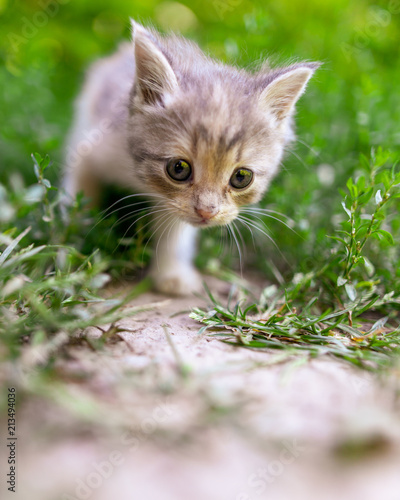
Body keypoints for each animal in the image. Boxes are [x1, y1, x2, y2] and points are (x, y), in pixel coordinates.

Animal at [63, 20, 318, 292]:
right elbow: (77, 204)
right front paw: (71, 257)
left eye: (241, 177)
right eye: (179, 169)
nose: (207, 212)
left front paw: (172, 273)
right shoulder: (91, 148)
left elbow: (174, 230)